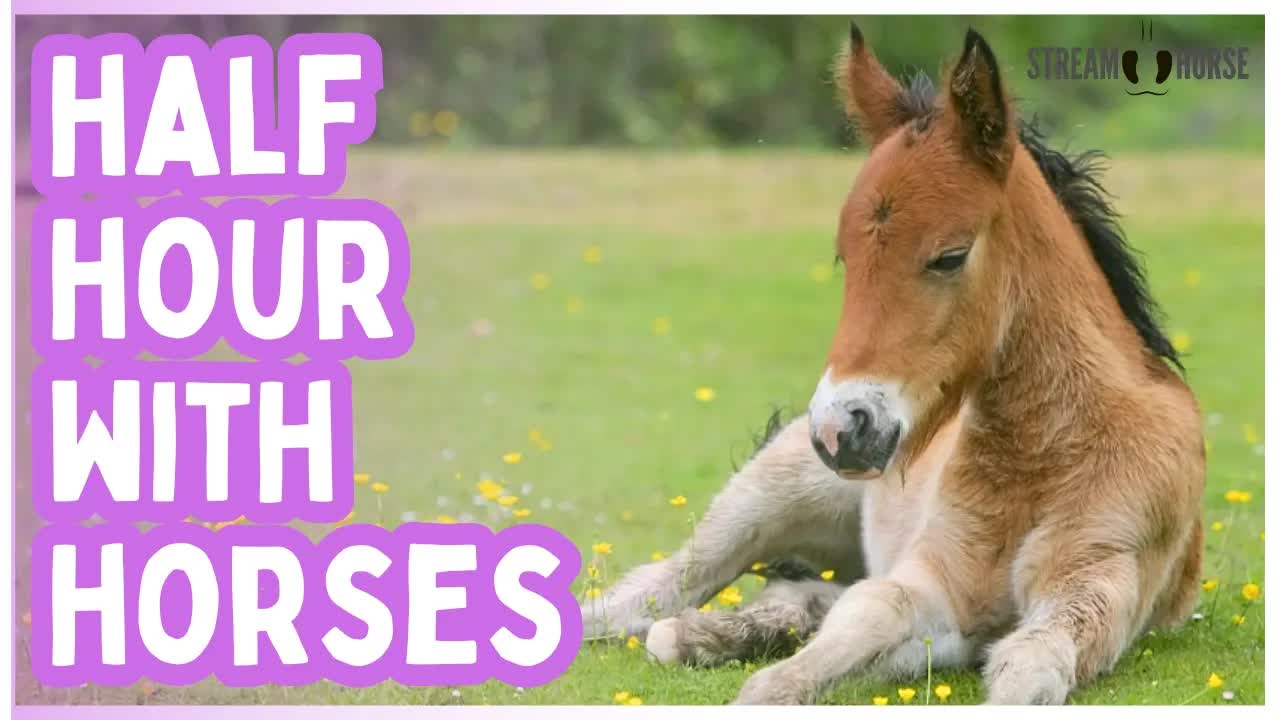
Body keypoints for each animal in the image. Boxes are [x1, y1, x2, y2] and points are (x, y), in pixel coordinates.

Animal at [581, 23, 1205, 705]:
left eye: (950, 256)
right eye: (844, 257)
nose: (840, 428)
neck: (1042, 458)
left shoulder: (1099, 575)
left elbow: (1028, 664)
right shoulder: (936, 579)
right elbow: (873, 611)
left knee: (799, 595)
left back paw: (709, 636)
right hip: (768, 496)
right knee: (656, 589)